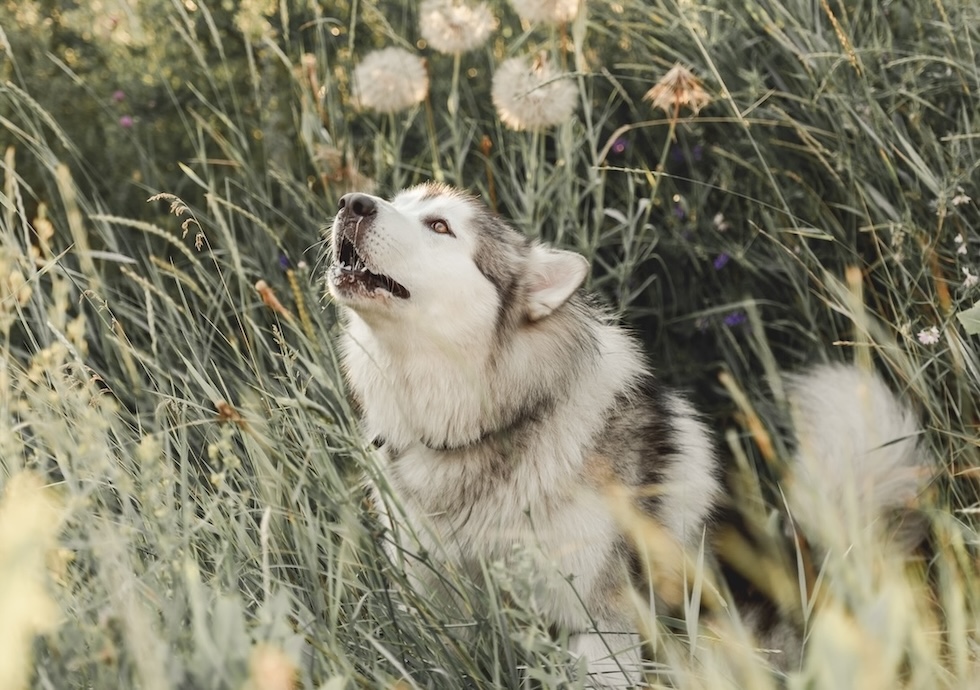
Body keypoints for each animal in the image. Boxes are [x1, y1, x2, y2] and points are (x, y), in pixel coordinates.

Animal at [326, 181, 932, 684]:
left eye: (439, 226)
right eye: (397, 201)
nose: (351, 203)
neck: (489, 428)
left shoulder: (600, 623)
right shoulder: (437, 599)